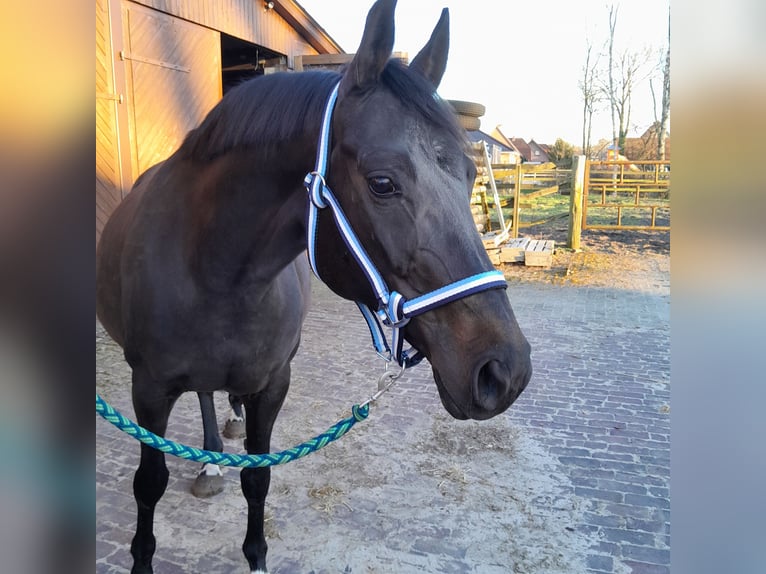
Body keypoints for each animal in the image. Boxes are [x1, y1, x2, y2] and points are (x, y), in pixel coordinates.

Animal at [95, 1, 532, 572]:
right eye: (383, 183)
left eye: (468, 174)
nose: (505, 372)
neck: (215, 273)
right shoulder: (148, 390)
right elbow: (149, 483)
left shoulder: (272, 385)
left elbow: (257, 479)